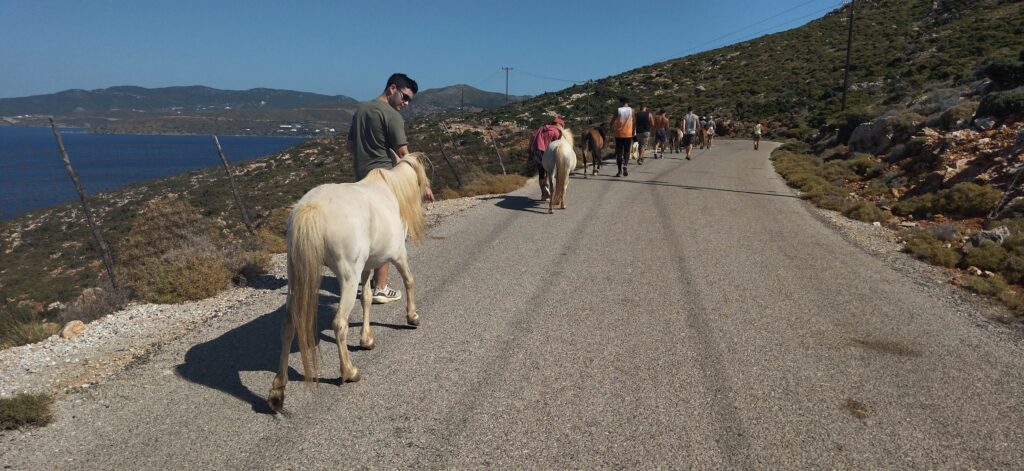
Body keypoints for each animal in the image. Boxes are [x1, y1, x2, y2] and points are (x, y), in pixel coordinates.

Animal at [266, 151, 430, 411]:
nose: (428, 194)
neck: (391, 190)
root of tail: (312, 207)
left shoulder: (368, 266)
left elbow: (367, 298)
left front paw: (366, 339)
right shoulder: (398, 255)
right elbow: (409, 280)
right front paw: (412, 317)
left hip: (297, 279)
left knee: (288, 325)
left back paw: (278, 390)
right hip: (347, 276)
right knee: (339, 323)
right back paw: (349, 372)